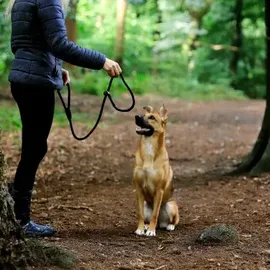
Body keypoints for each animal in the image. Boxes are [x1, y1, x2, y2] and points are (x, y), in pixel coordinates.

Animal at [133, 104, 179, 235]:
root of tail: (161, 223)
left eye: (152, 117)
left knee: (173, 220)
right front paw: (140, 229)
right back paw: (146, 226)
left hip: (171, 205)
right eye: (144, 114)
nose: (136, 116)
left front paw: (151, 231)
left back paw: (168, 226)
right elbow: (140, 214)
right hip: (144, 204)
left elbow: (155, 214)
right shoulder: (138, 189)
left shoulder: (159, 190)